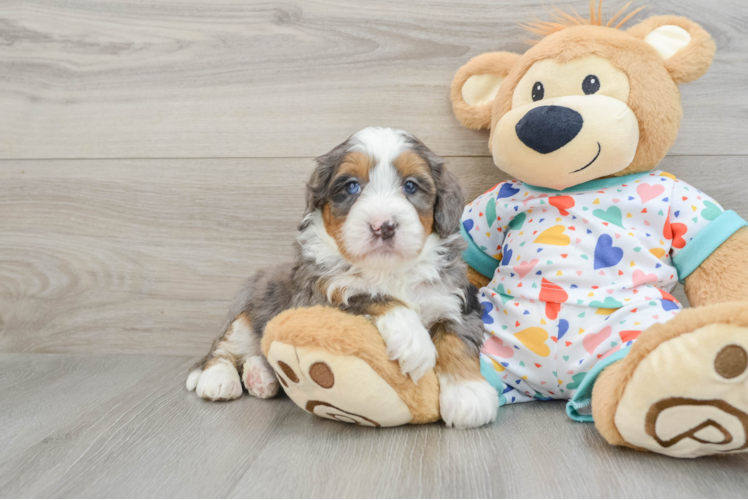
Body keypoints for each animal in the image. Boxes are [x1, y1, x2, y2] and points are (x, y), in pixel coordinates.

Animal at [186, 127, 500, 428]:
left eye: (410, 185)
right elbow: (369, 294)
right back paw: (218, 380)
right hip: (245, 313)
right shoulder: (318, 293)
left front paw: (469, 397)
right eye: (351, 186)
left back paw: (261, 377)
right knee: (223, 350)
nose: (383, 226)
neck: (389, 269)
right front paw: (415, 342)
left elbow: (457, 340)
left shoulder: (454, 300)